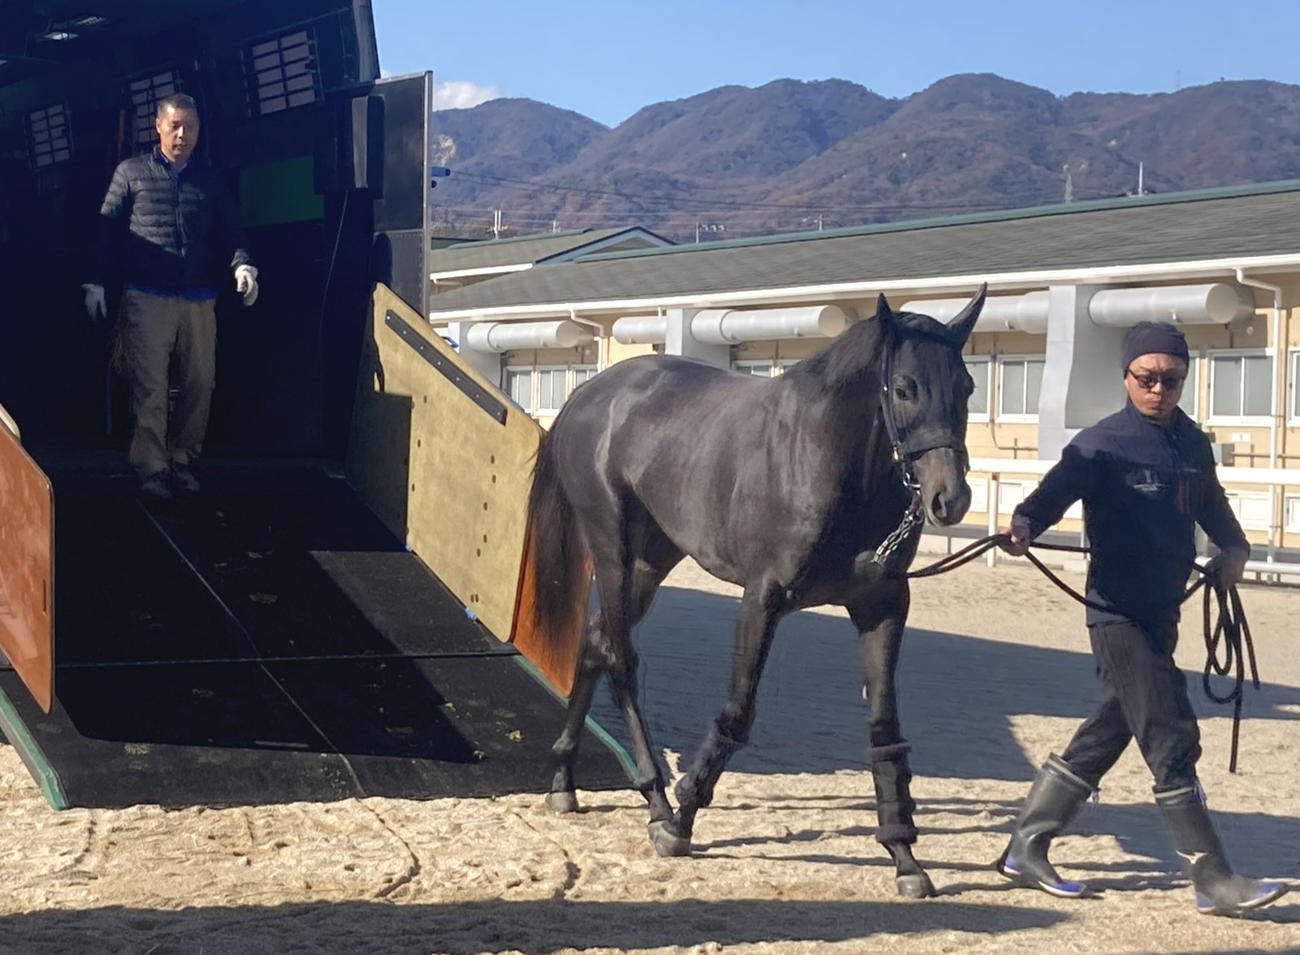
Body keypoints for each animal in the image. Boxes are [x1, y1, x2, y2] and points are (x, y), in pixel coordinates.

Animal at [523, 285, 986, 898]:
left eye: (968, 387)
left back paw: (563, 779)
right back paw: (655, 798)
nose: (950, 499)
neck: (826, 461)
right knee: (619, 657)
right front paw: (683, 821)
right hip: (611, 547)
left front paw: (904, 855)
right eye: (906, 387)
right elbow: (737, 714)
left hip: (652, 558)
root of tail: (591, 393)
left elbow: (885, 728)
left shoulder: (882, 606)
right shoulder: (762, 599)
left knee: (597, 641)